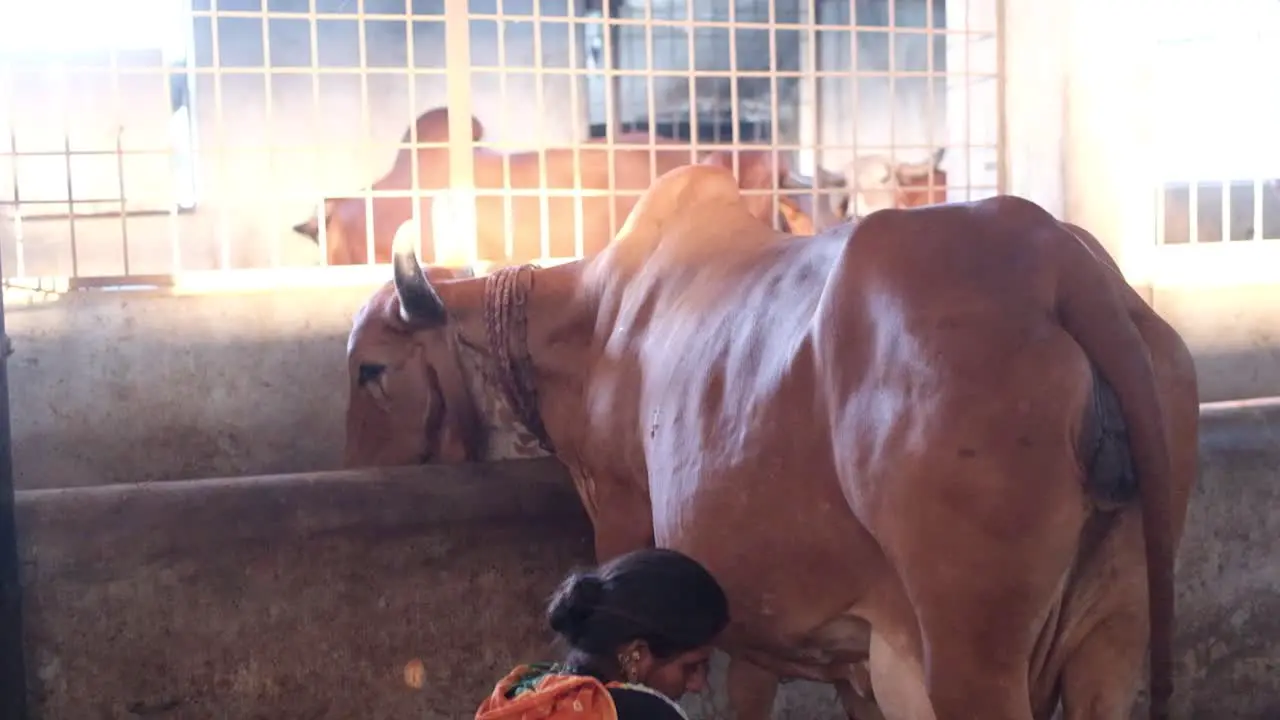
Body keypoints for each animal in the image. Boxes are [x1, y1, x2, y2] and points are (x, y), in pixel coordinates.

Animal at [345, 163, 1192, 717]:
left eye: (371, 368)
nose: (362, 469)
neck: (591, 319)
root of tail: (1050, 254)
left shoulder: (623, 513)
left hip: (969, 651)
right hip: (1114, 632)